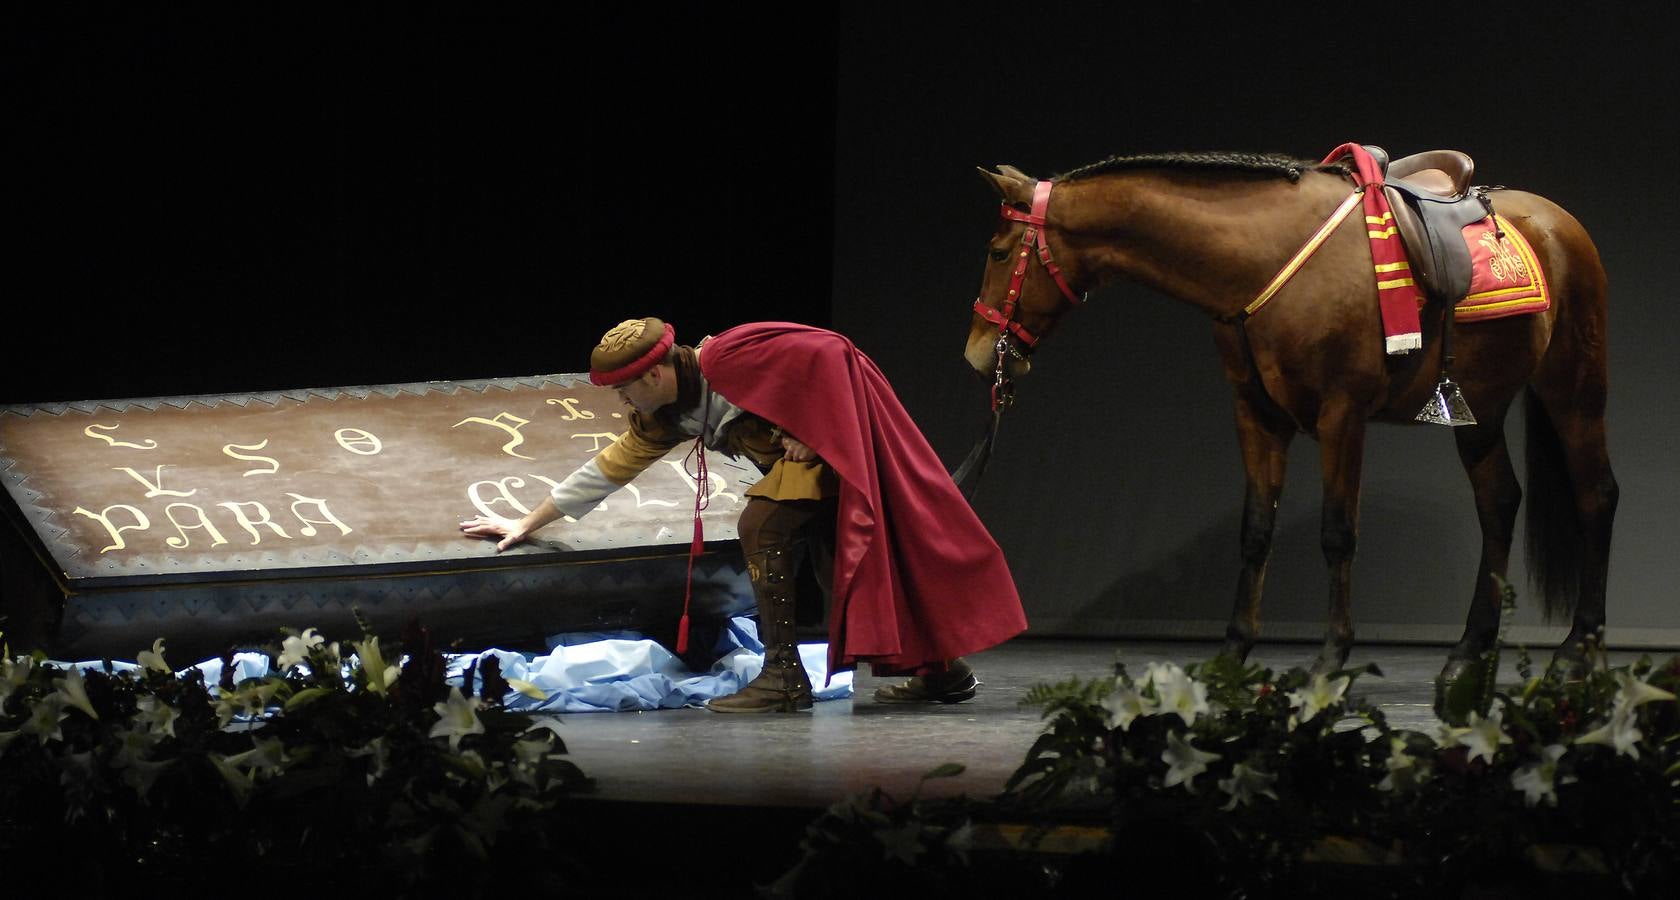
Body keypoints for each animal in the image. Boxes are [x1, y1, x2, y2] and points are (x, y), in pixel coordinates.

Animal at [974, 152, 1612, 681]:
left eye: (999, 252)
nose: (979, 352)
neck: (1268, 256)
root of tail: (1558, 223)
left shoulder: (1342, 414)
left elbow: (1338, 532)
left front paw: (1332, 655)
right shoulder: (1255, 415)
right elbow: (1257, 530)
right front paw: (1234, 649)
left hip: (1574, 390)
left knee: (1595, 496)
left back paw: (1578, 647)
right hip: (1480, 410)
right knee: (1498, 503)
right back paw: (1469, 649)